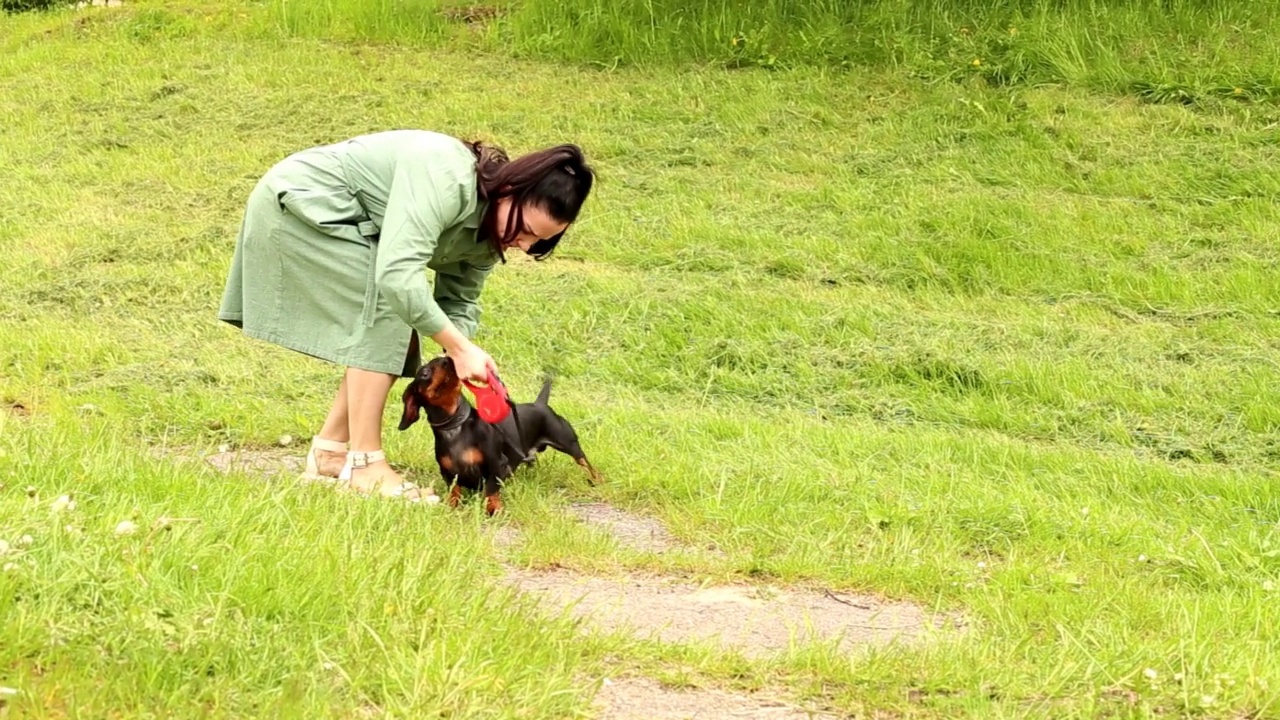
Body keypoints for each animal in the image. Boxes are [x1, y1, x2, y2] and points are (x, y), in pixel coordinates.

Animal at [396, 353, 601, 512]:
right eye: (424, 373)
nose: (448, 358)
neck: (455, 428)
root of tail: (540, 404)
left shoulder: (497, 464)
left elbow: (490, 491)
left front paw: (493, 510)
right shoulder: (447, 473)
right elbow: (454, 491)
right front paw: (452, 507)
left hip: (569, 443)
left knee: (585, 463)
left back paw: (597, 480)